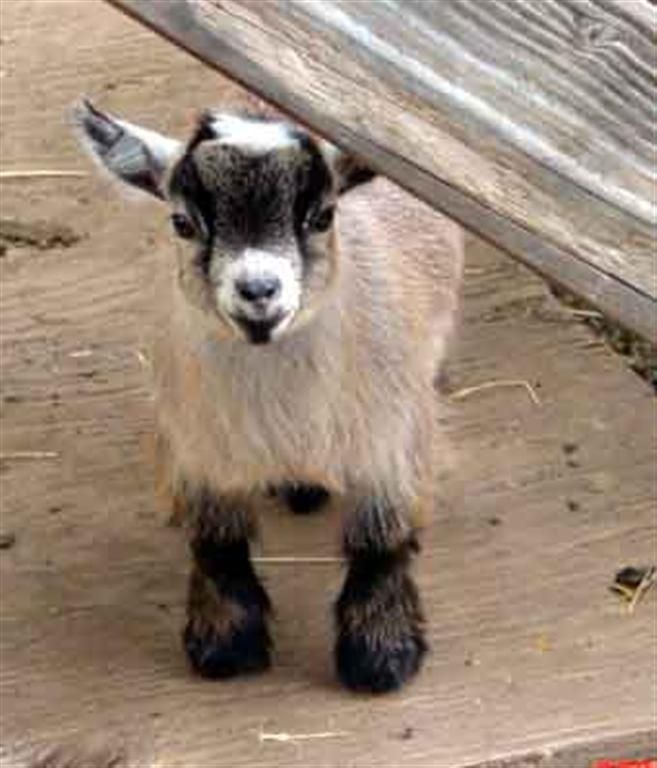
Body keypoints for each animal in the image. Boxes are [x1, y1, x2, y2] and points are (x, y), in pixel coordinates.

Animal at [74, 99, 464, 692]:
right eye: (182, 221)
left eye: (322, 216)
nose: (258, 291)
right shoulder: (196, 447)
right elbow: (216, 544)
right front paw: (225, 646)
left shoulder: (390, 438)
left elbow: (379, 542)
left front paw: (380, 658)